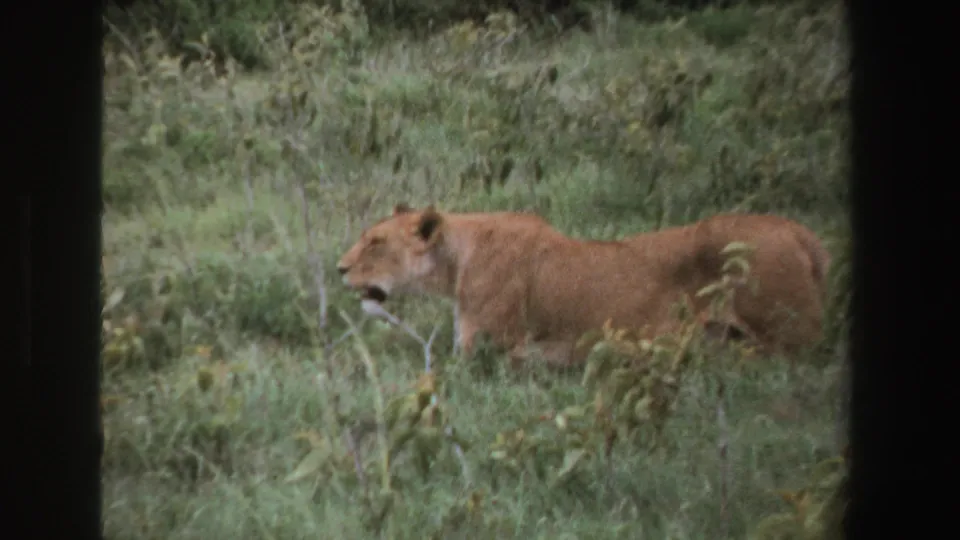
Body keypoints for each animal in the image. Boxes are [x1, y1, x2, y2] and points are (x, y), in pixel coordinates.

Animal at [336, 204, 831, 368]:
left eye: (375, 242)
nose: (339, 268)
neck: (457, 259)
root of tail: (799, 232)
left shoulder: (484, 350)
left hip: (786, 338)